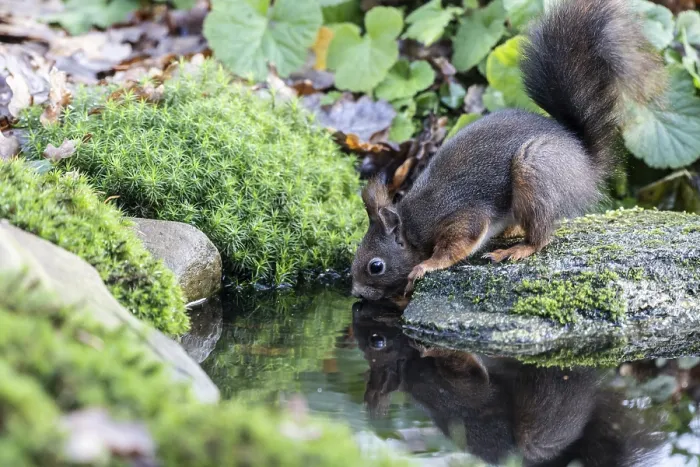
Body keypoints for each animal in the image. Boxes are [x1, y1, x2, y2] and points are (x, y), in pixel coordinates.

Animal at [350, 0, 665, 300]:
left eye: (376, 266)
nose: (357, 293)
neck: (413, 224)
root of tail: (585, 163)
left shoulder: (461, 217)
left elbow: (457, 245)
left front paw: (424, 266)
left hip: (535, 169)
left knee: (542, 236)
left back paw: (516, 249)